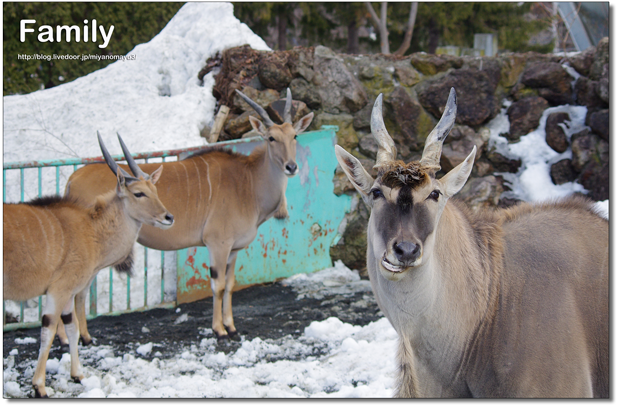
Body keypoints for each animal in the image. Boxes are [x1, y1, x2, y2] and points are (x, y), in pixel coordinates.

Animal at [3, 135, 172, 396]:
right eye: (139, 193)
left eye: (155, 190)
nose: (168, 217)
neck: (92, 230)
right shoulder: (59, 290)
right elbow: (48, 332)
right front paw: (39, 386)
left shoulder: (68, 293)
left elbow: (72, 329)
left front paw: (78, 375)